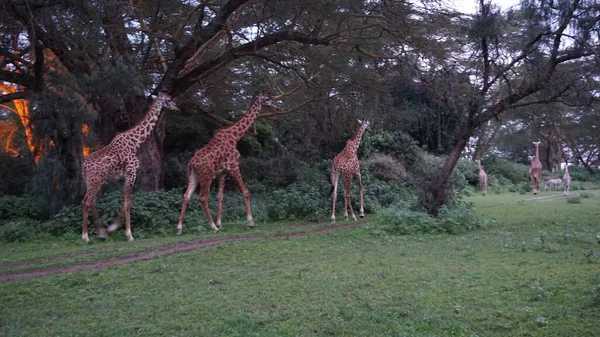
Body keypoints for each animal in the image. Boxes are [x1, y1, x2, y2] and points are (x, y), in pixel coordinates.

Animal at [80, 92, 178, 242]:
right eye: (168, 99)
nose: (177, 107)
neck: (135, 142)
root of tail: (84, 166)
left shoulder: (121, 177)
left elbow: (123, 202)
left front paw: (112, 228)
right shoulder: (131, 173)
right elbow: (128, 203)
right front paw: (129, 235)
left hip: (93, 181)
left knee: (91, 202)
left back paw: (102, 233)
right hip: (95, 181)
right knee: (86, 202)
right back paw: (85, 237)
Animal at [177, 88, 280, 234]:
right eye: (267, 99)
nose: (277, 107)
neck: (235, 137)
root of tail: (191, 163)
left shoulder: (223, 172)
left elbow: (220, 196)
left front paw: (220, 223)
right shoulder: (234, 166)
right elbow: (245, 191)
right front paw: (250, 222)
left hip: (194, 176)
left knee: (186, 196)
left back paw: (179, 228)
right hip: (206, 175)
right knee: (203, 197)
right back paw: (212, 227)